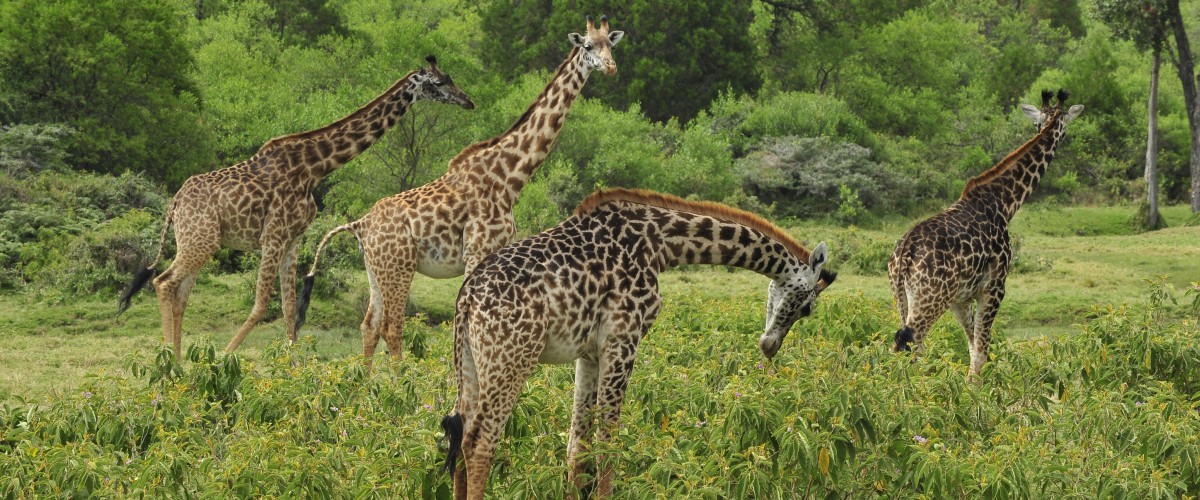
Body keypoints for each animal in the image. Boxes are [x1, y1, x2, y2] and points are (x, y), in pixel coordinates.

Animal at [117, 55, 472, 359]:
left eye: (451, 78)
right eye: (439, 82)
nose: (469, 101)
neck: (315, 167)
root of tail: (174, 202)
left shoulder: (294, 237)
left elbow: (289, 307)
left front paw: (291, 366)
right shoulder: (273, 234)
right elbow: (262, 303)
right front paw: (224, 357)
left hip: (196, 241)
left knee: (180, 293)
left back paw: (177, 361)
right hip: (201, 240)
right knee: (164, 282)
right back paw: (171, 363)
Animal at [296, 13, 628, 359]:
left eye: (611, 44)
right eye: (587, 45)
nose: (611, 67)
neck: (511, 176)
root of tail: (359, 225)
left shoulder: (495, 251)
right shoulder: (476, 251)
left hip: (376, 270)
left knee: (369, 325)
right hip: (398, 268)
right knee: (391, 326)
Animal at [439, 188, 835, 498]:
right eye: (808, 308)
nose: (769, 346)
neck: (662, 244)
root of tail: (466, 299)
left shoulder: (589, 353)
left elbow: (578, 447)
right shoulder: (623, 337)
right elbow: (608, 444)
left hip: (471, 363)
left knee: (461, 437)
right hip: (512, 358)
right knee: (480, 442)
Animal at [888, 90, 1084, 378]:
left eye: (1040, 122)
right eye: (1062, 126)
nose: (1059, 138)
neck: (1004, 203)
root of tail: (904, 253)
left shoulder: (960, 299)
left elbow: (973, 349)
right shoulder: (994, 287)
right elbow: (981, 353)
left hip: (902, 296)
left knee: (908, 347)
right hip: (930, 298)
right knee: (909, 345)